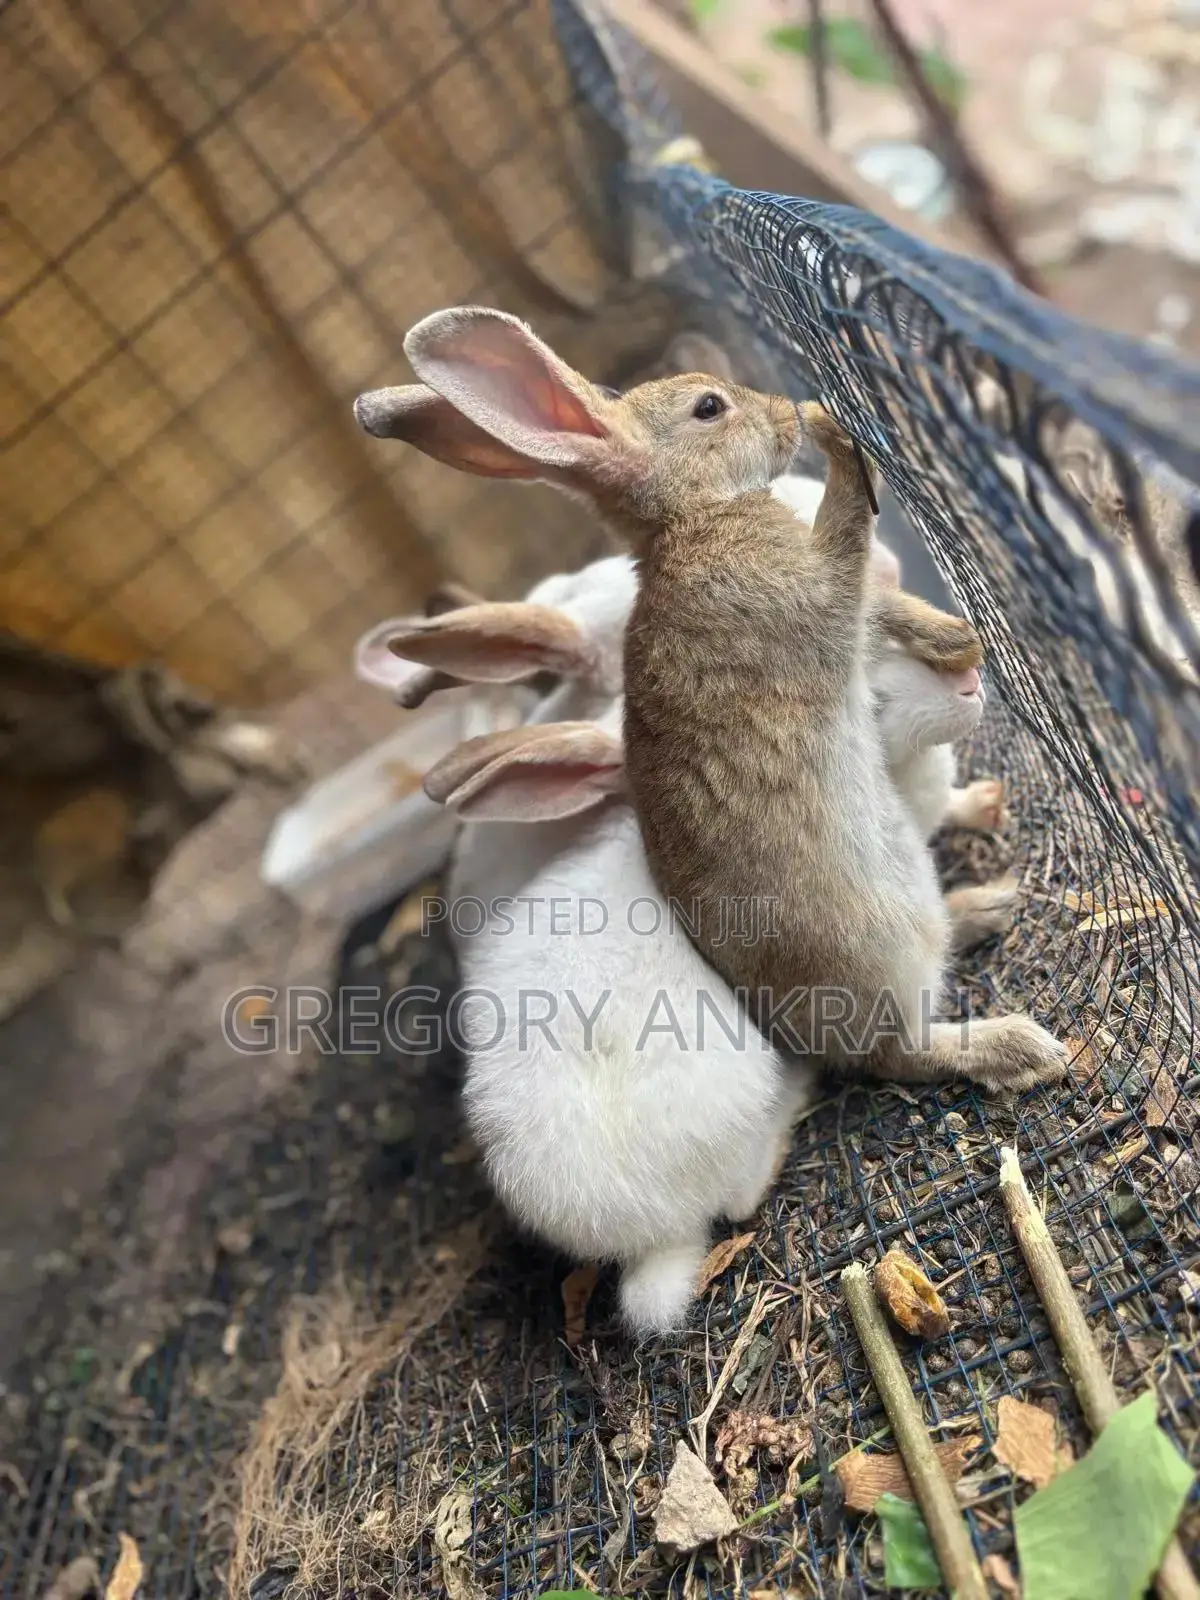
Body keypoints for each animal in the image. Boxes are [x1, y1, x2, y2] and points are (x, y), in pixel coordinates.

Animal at [352, 306, 1066, 1095]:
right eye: (708, 408)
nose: (782, 411)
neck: (690, 518)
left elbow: (886, 606)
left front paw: (957, 640)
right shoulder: (819, 587)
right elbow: (850, 533)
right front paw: (832, 430)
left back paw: (987, 902)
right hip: (888, 962)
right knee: (904, 1053)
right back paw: (1021, 1044)